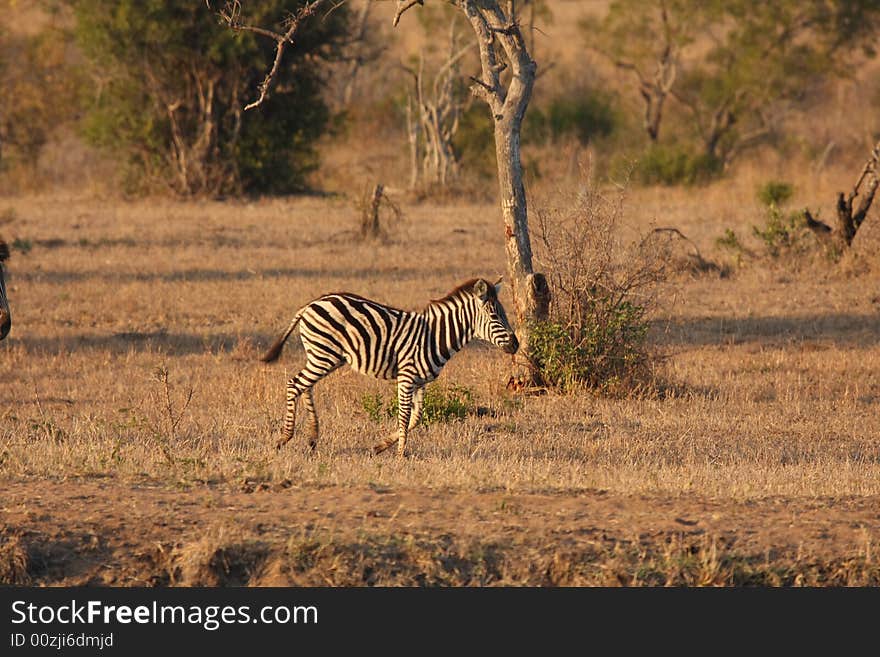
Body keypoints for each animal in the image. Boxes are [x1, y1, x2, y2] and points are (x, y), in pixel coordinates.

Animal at [264, 276, 520, 456]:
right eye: (495, 317)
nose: (516, 345)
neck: (434, 336)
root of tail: (311, 303)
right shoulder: (407, 376)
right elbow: (405, 416)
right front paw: (400, 454)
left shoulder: (420, 382)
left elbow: (416, 418)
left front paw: (381, 446)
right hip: (323, 354)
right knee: (294, 384)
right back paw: (284, 438)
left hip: (325, 356)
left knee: (306, 386)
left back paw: (312, 436)